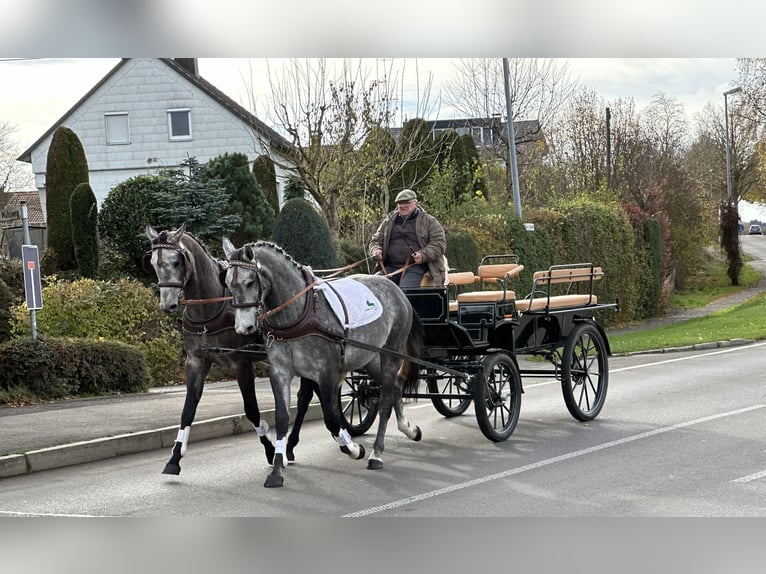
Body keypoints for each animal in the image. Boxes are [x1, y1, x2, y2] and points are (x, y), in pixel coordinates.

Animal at [144, 225, 320, 476]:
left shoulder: (241, 363)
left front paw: (270, 451)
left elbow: (252, 410)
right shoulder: (196, 361)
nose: (167, 304)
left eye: (177, 261)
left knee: (306, 395)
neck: (211, 307)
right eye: (153, 263)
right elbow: (188, 408)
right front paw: (175, 457)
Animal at [222, 240, 426, 490]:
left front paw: (353, 448)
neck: (299, 312)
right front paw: (277, 470)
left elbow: (331, 418)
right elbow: (282, 419)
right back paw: (408, 428)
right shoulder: (280, 373)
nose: (244, 328)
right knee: (394, 386)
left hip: (391, 353)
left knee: (386, 398)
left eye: (250, 282)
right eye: (227, 283)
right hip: (370, 359)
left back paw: (376, 453)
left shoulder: (326, 373)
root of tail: (397, 289)